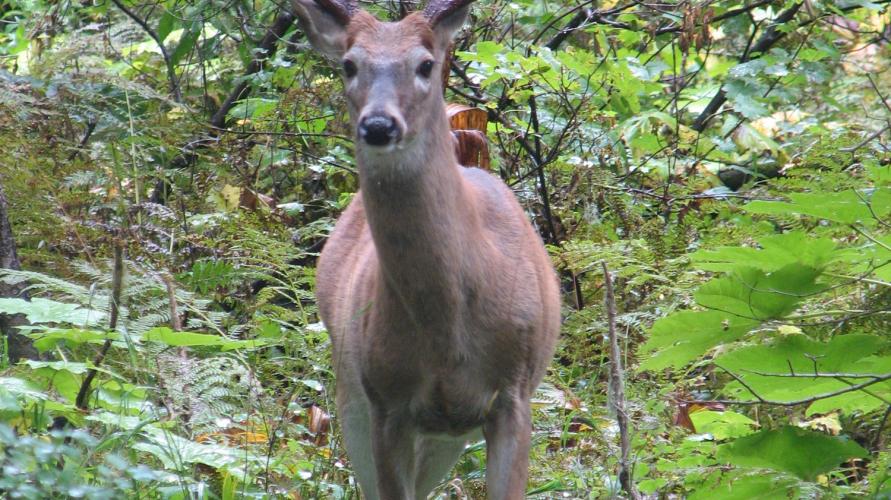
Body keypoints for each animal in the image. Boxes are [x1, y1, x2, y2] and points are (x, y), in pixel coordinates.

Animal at [290, 1, 556, 498]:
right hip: (353, 396)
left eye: (426, 64)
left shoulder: (514, 395)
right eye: (349, 64)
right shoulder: (386, 402)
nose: (378, 125)